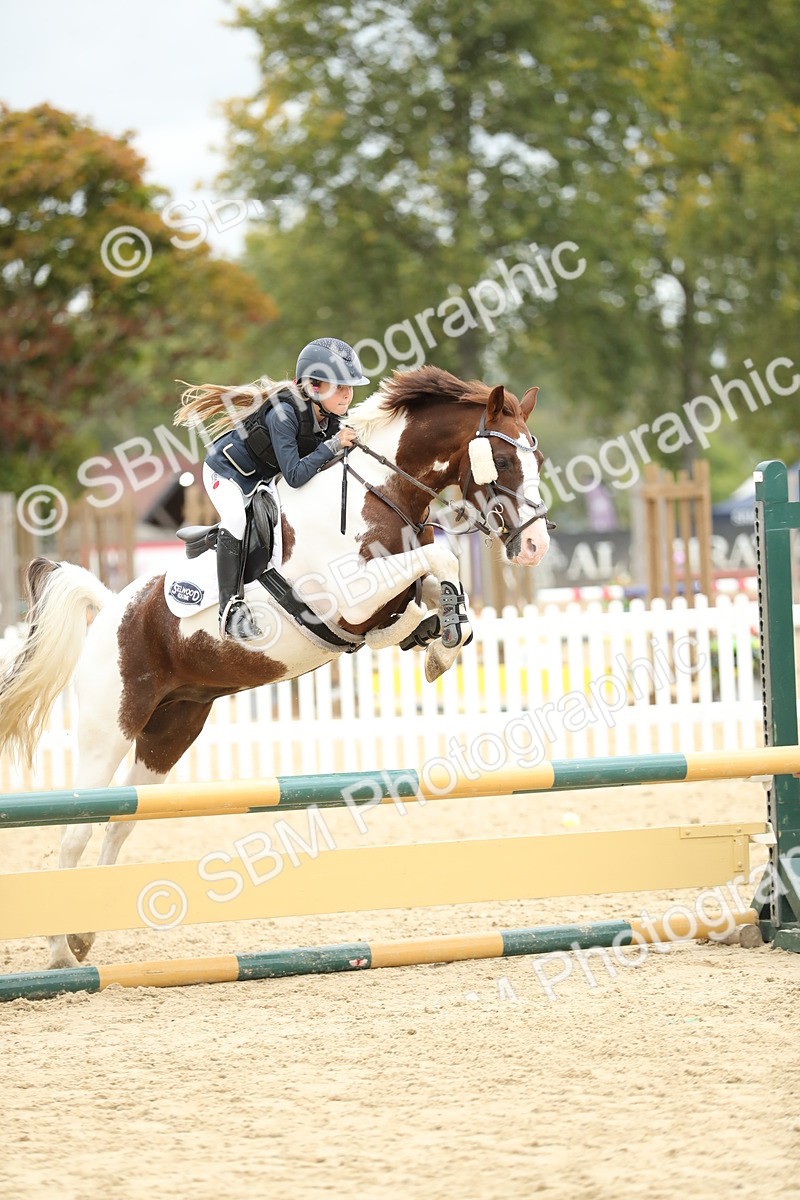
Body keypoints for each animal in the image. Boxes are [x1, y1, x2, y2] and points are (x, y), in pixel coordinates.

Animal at [0, 365, 551, 969]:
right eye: (502, 460)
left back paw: (84, 932)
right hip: (109, 729)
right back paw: (61, 950)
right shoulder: (353, 597)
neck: (380, 492)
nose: (535, 546)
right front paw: (435, 639)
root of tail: (108, 612)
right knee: (76, 828)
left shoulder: (384, 596)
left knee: (122, 819)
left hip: (171, 731)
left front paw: (442, 640)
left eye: (537, 457)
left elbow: (435, 583)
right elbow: (442, 557)